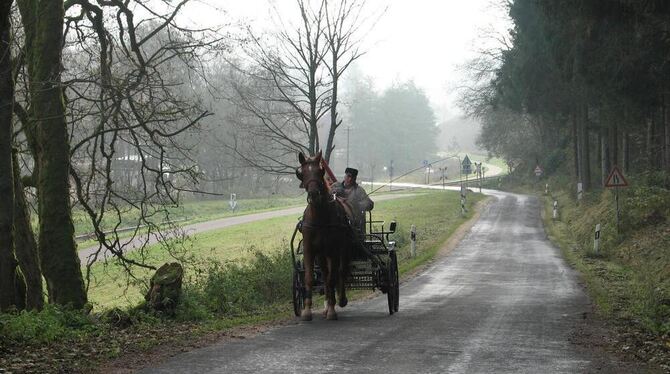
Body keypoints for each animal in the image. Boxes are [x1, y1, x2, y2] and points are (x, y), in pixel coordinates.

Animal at [296, 150, 354, 320]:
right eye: (303, 173)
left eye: (320, 171)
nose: (314, 194)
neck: (320, 217)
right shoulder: (310, 249)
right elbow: (309, 278)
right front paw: (307, 311)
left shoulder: (333, 250)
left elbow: (332, 278)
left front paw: (333, 310)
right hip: (321, 254)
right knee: (325, 272)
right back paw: (328, 303)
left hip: (343, 249)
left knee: (340, 271)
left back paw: (339, 300)